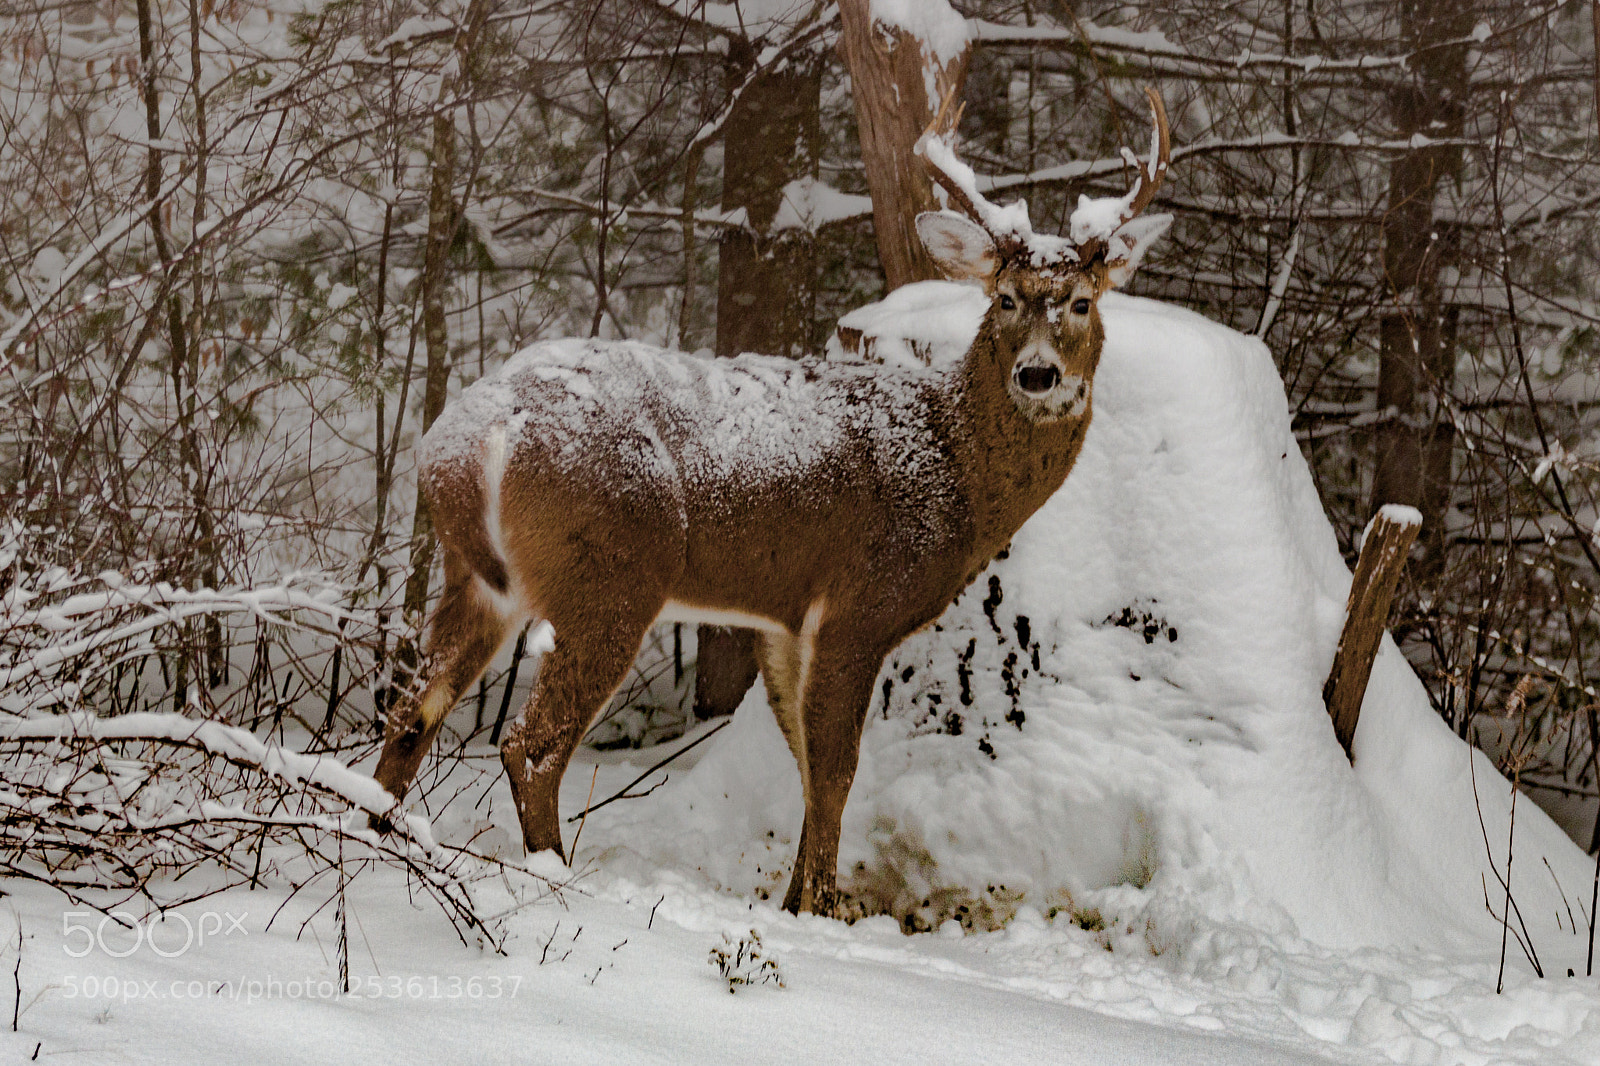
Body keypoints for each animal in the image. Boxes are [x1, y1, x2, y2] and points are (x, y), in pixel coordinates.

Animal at [374, 89, 1177, 915]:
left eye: (1081, 302)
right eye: (1008, 297)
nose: (1038, 375)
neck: (950, 464)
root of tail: (466, 436)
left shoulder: (786, 622)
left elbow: (806, 764)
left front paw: (797, 899)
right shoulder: (859, 603)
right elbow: (837, 769)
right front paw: (819, 907)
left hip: (479, 578)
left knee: (412, 710)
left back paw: (383, 837)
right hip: (610, 573)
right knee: (529, 745)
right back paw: (555, 876)